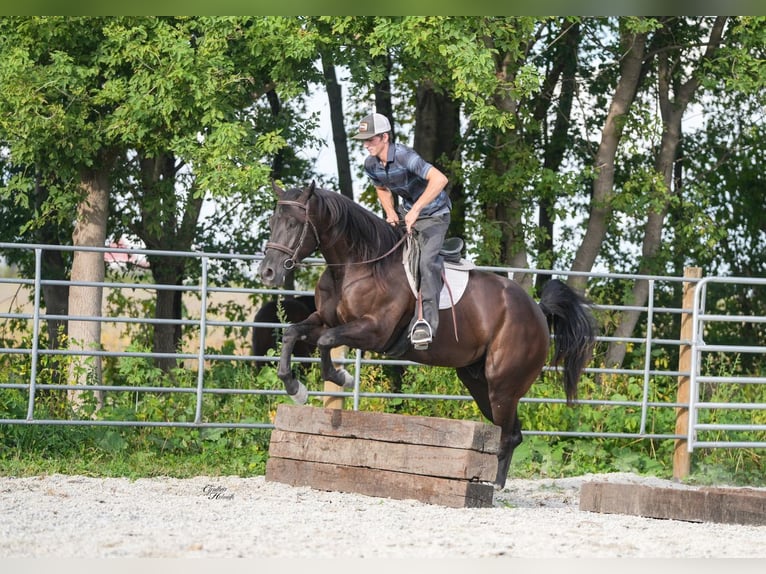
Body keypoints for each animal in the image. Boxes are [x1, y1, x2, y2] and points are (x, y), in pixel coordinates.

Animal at [258, 181, 596, 489]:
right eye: (272, 223)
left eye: (294, 223)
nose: (268, 273)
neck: (356, 266)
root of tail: (537, 310)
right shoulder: (324, 320)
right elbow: (292, 334)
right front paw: (295, 388)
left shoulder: (374, 331)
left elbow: (326, 342)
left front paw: (342, 377)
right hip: (478, 381)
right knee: (510, 431)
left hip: (503, 385)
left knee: (508, 434)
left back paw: (494, 486)